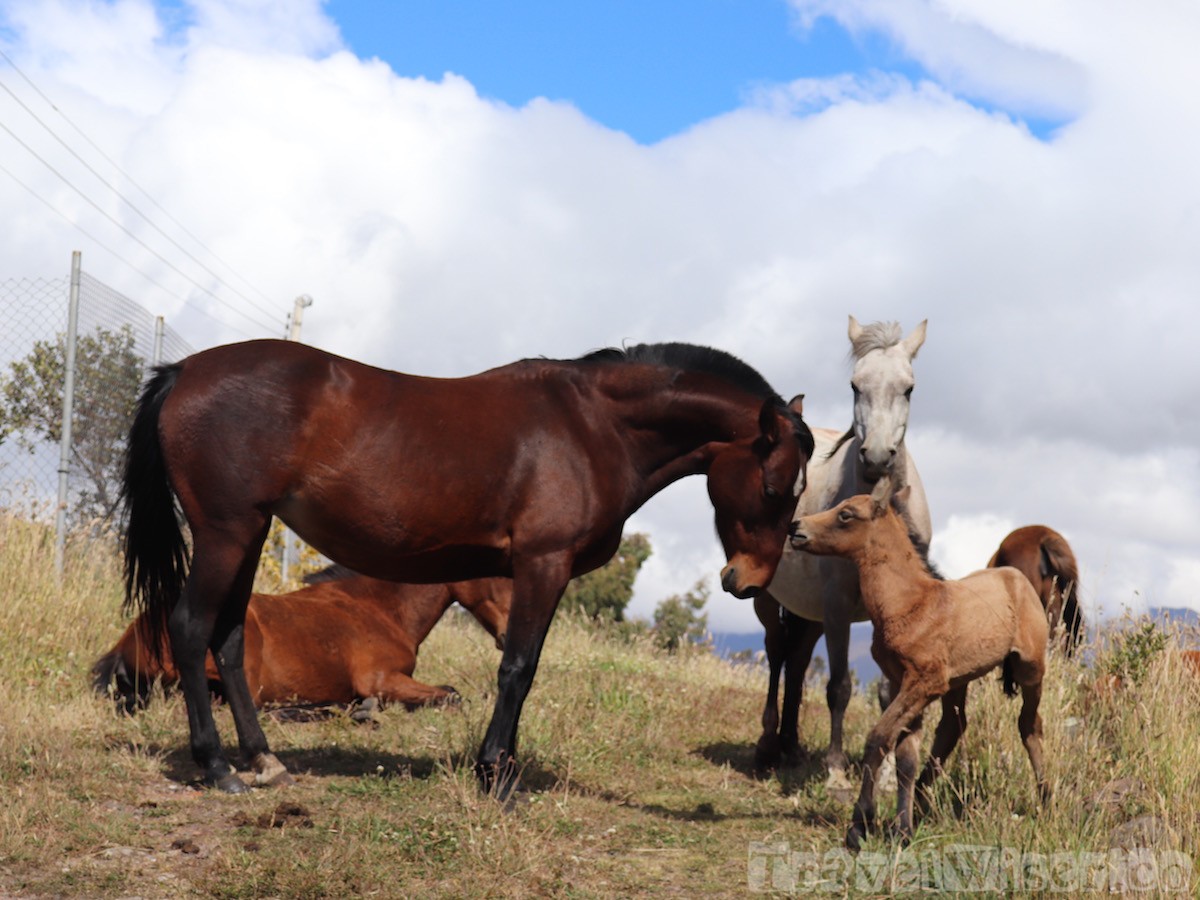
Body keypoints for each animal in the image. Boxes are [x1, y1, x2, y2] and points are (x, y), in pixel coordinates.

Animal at [753, 318, 931, 778]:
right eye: (854, 385)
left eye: (909, 388)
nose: (877, 458)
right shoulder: (836, 607)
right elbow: (839, 687)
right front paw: (834, 771)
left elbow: (889, 695)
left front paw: (885, 772)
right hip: (767, 596)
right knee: (777, 653)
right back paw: (768, 745)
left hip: (808, 610)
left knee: (797, 660)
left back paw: (791, 746)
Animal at [789, 479, 1050, 850]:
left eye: (845, 514)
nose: (796, 529)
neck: (908, 603)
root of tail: (1018, 578)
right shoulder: (904, 681)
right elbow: (906, 757)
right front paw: (903, 828)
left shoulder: (924, 682)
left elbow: (878, 738)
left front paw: (860, 824)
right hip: (958, 681)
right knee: (953, 726)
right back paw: (925, 801)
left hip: (1031, 668)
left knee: (1029, 724)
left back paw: (1045, 799)